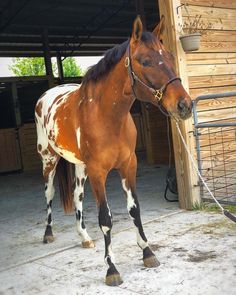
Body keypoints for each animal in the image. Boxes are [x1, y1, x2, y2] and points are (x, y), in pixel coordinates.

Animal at [35, 15, 192, 286]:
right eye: (145, 61)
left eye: (171, 57)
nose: (185, 105)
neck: (106, 116)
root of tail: (46, 95)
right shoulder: (99, 172)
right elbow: (106, 219)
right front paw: (111, 269)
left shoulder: (128, 166)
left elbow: (135, 210)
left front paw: (148, 253)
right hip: (49, 160)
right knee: (49, 194)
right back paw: (48, 234)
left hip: (80, 167)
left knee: (77, 197)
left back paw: (84, 237)